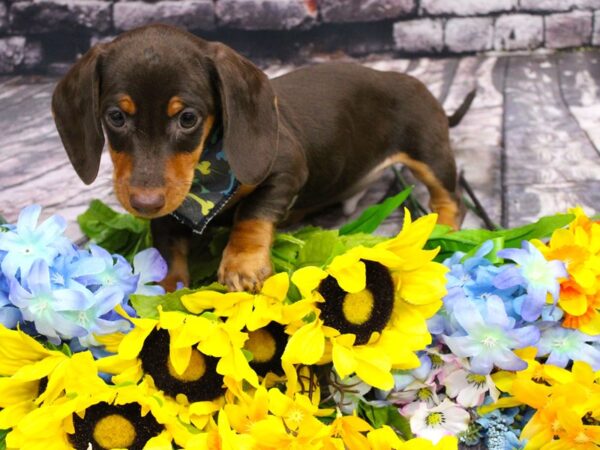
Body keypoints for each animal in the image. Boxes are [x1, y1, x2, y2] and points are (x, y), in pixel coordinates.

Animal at [52, 23, 474, 292]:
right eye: (115, 117)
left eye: (188, 119)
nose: (144, 202)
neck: (205, 176)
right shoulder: (171, 210)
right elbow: (168, 246)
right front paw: (168, 288)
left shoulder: (286, 171)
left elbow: (251, 214)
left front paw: (242, 264)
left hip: (430, 152)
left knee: (452, 198)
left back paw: (443, 231)